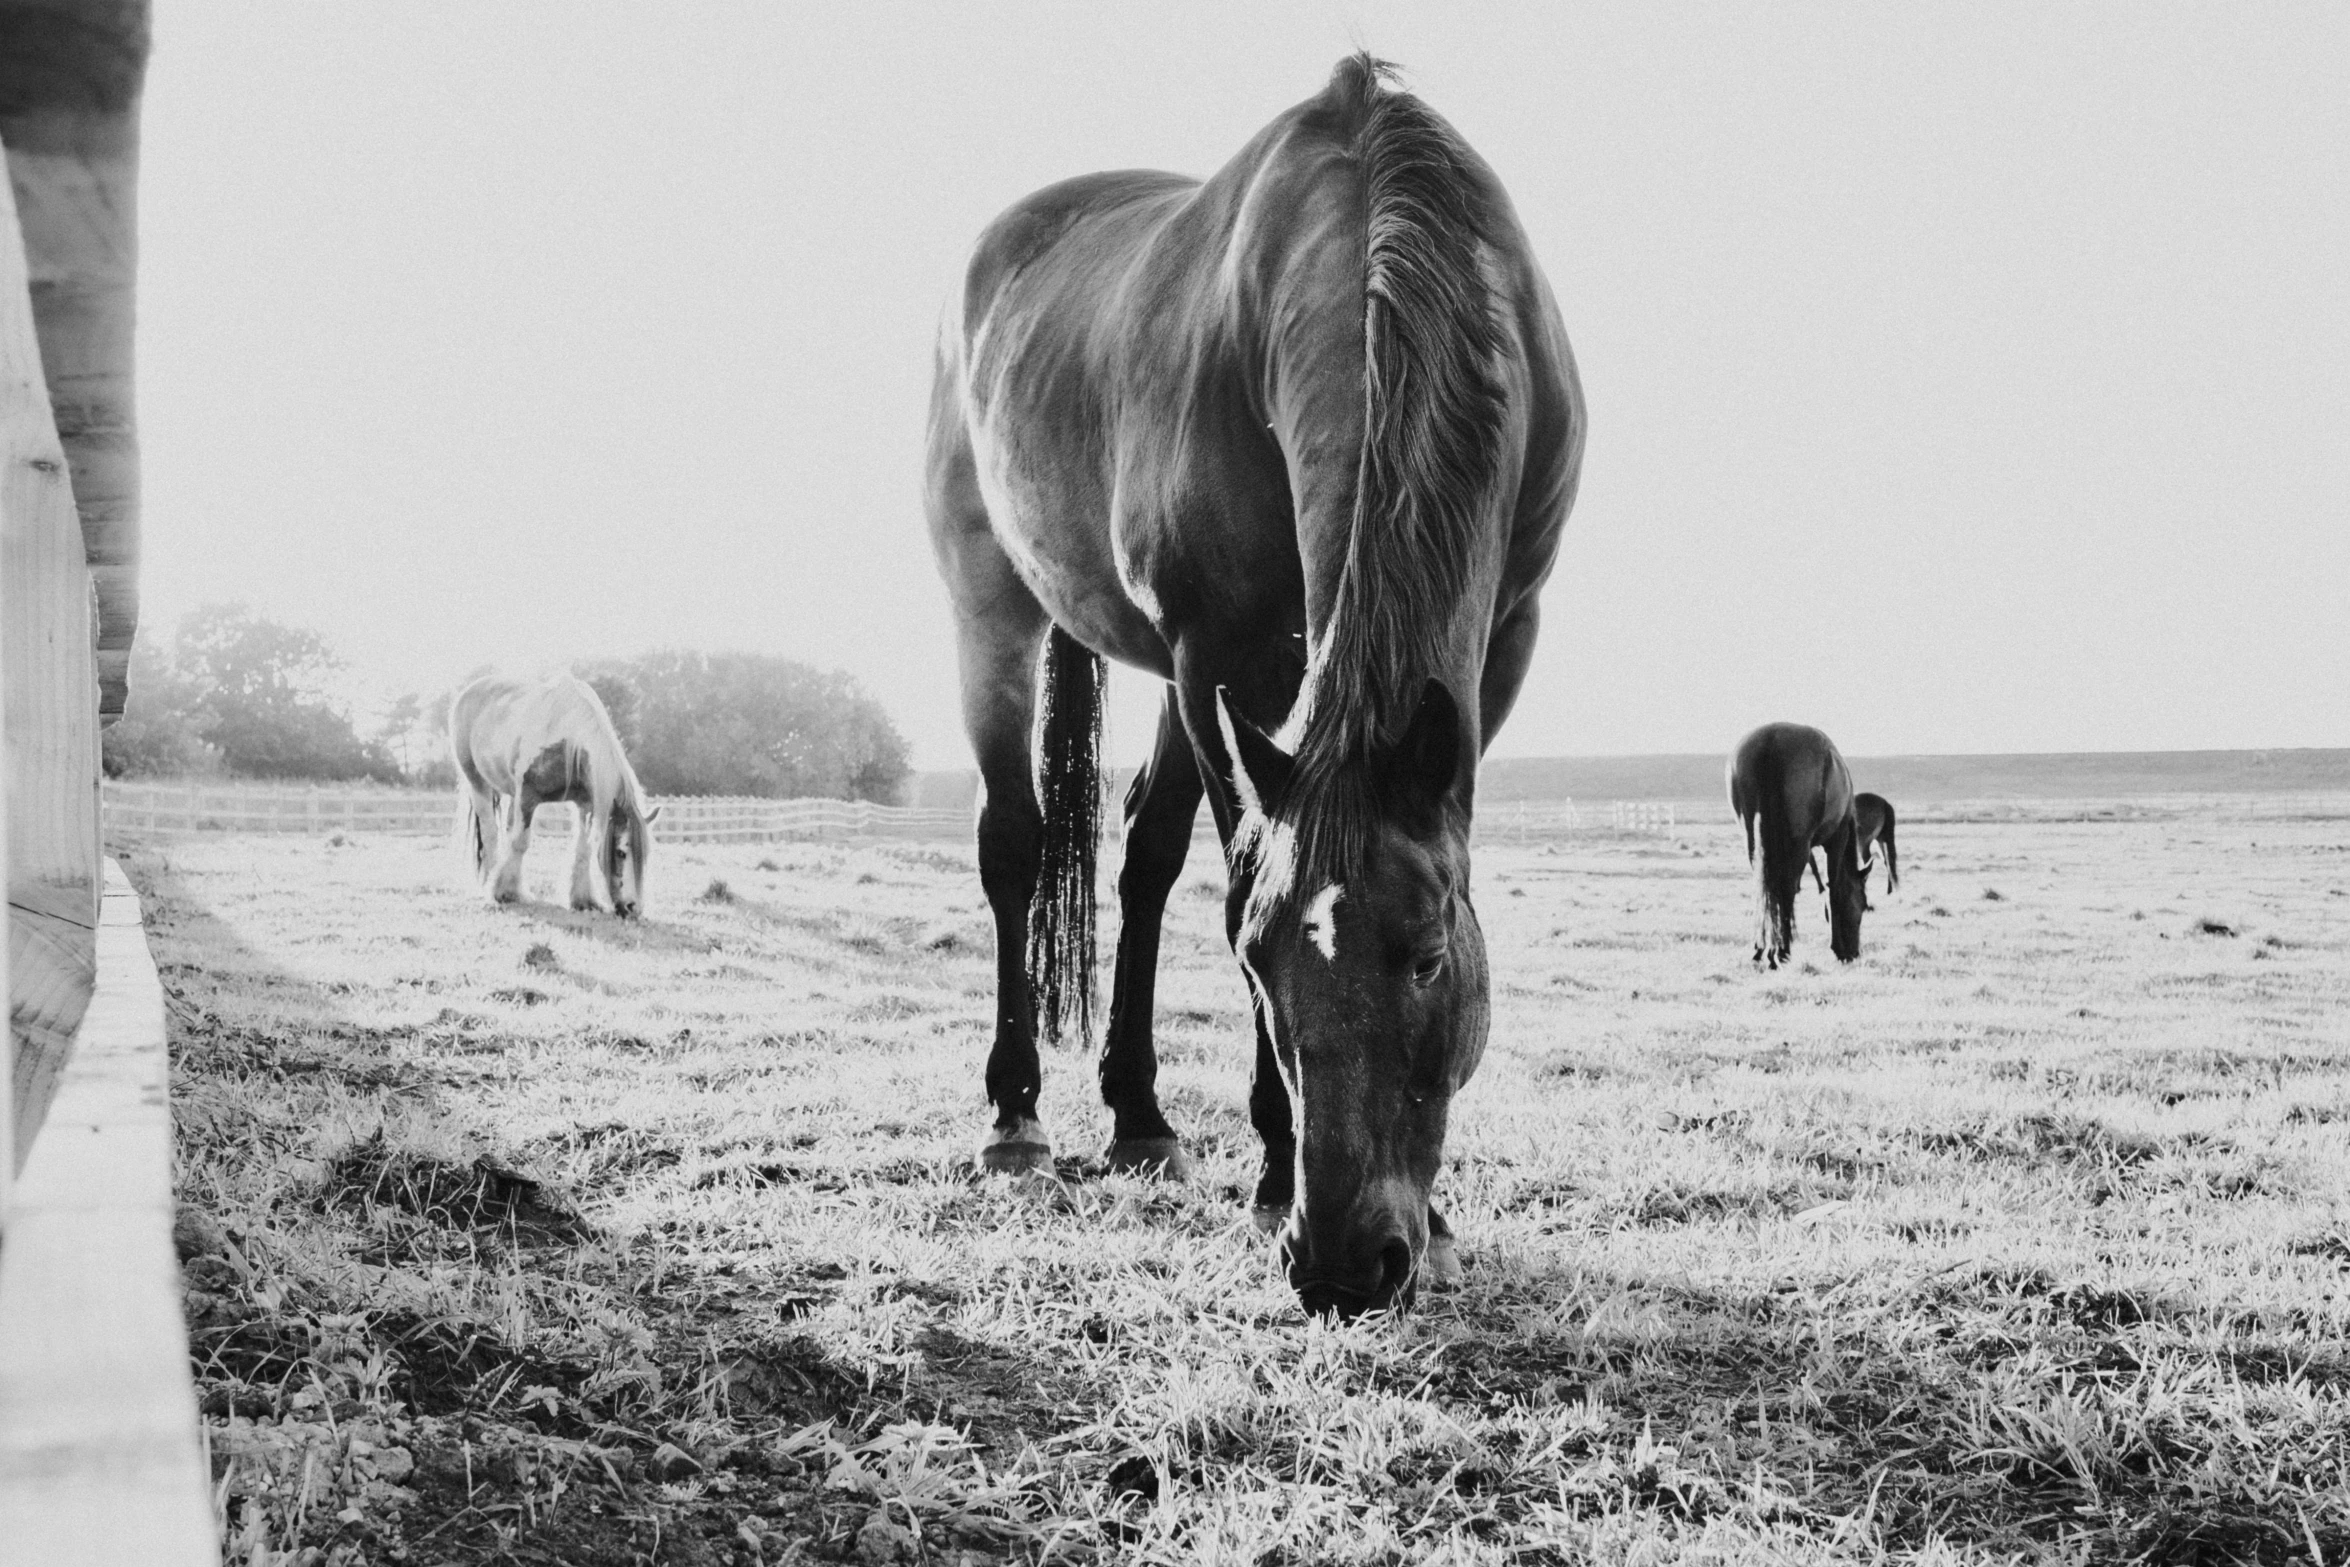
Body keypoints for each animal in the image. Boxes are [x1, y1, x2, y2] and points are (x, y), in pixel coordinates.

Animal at [448, 676, 662, 920]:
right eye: (621, 852)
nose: (633, 908)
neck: (569, 740)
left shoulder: (586, 805)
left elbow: (583, 850)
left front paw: (583, 900)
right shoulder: (527, 797)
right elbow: (520, 843)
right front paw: (506, 892)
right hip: (477, 783)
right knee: (490, 832)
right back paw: (488, 880)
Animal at [916, 55, 1579, 1315]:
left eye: (1428, 958)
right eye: (1256, 966)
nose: (1345, 1262)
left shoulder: (1503, 638)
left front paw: (1438, 1217)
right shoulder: (1212, 649)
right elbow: (1230, 879)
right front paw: (1276, 1172)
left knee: (1141, 851)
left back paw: (1137, 1117)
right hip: (995, 604)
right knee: (1015, 843)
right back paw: (1017, 1120)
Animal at [1720, 728, 1861, 967]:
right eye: (1860, 908)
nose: (1855, 953)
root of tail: (1771, 740)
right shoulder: (1837, 840)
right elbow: (1833, 888)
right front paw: (1838, 948)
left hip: (1755, 841)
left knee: (1767, 887)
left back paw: (1762, 948)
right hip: (1799, 844)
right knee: (1785, 888)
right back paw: (1780, 950)